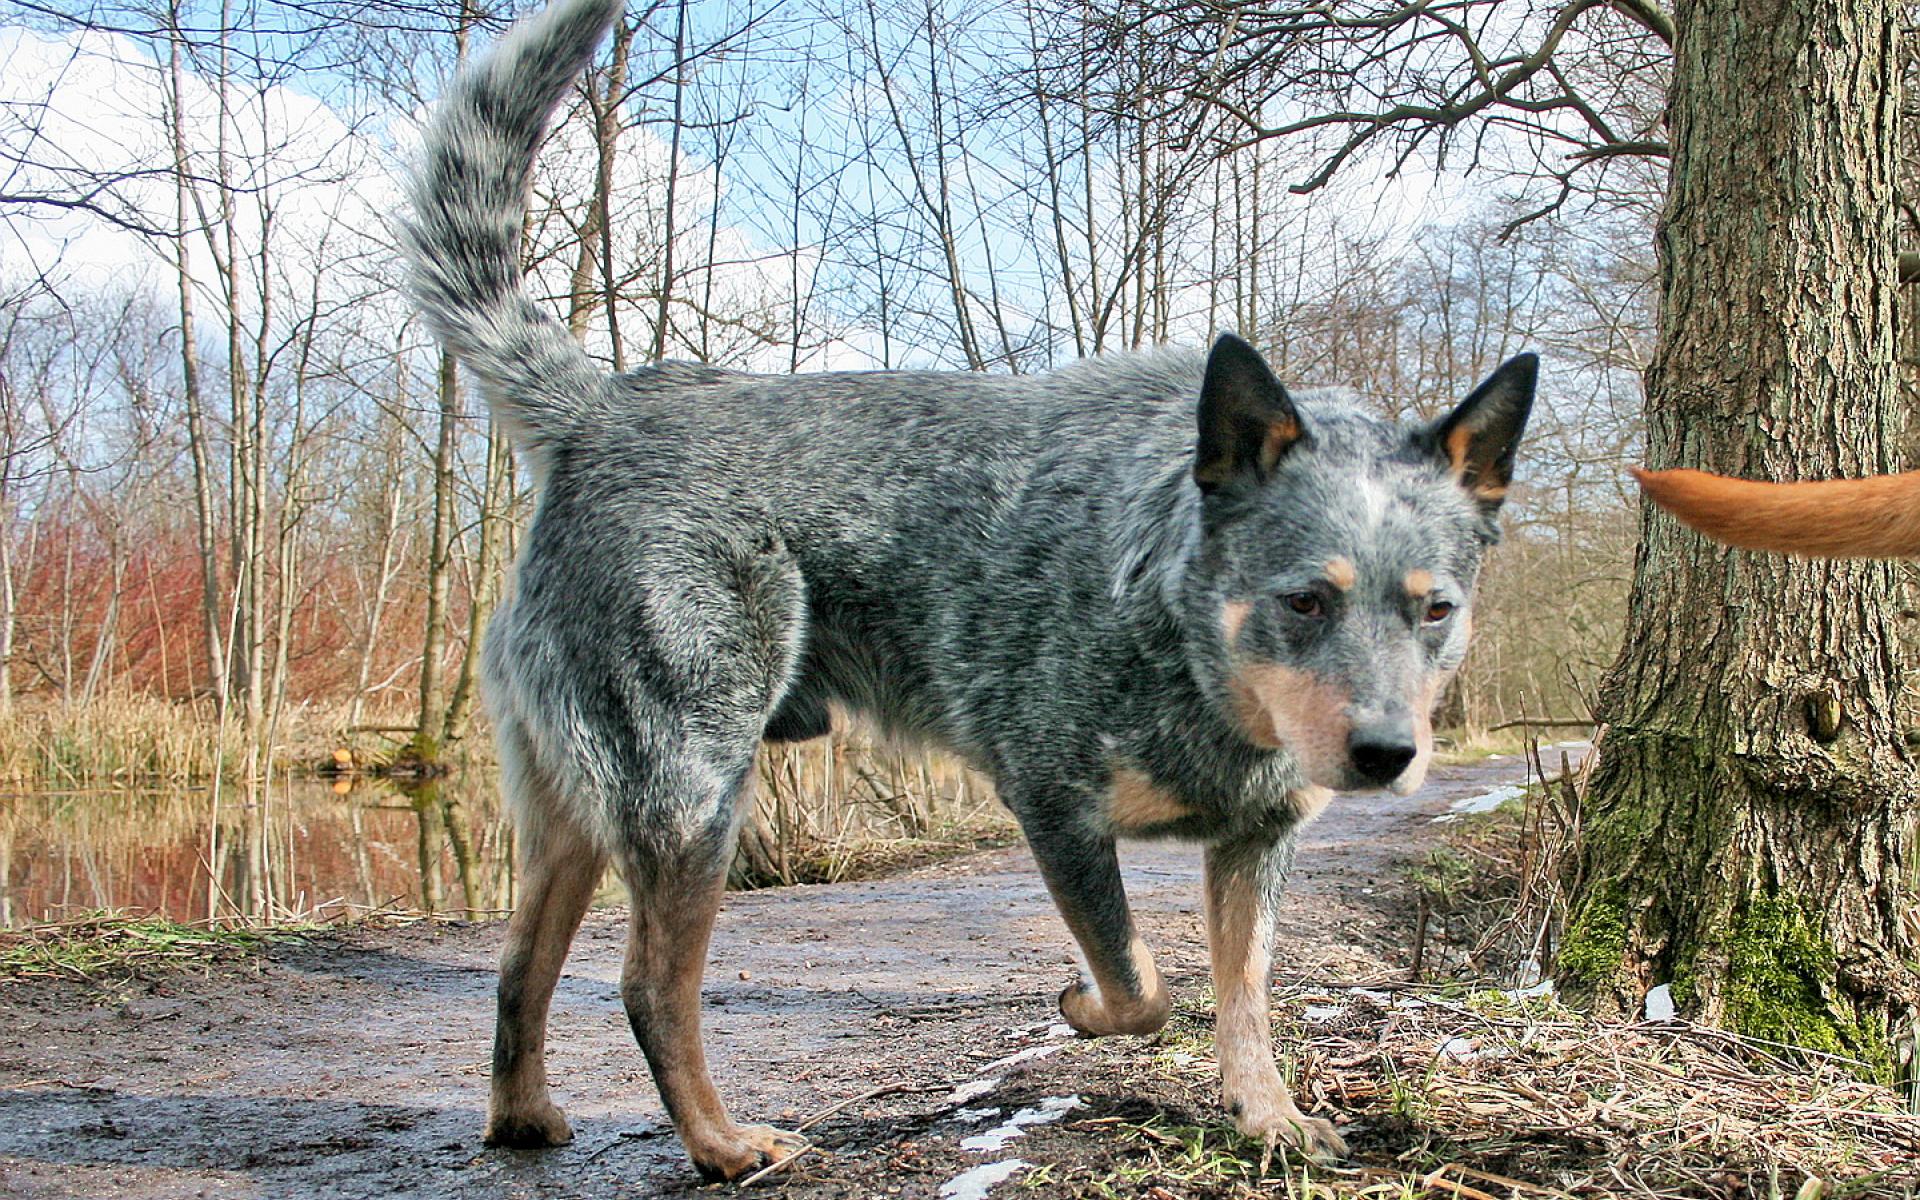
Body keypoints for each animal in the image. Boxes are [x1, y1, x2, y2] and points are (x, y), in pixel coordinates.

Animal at [397, 0, 1536, 1182]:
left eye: (1437, 609)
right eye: (1306, 599)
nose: (1388, 755)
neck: (1181, 642)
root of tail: (602, 411)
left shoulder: (1256, 843)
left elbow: (1245, 997)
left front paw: (1266, 1115)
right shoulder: (1052, 805)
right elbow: (1140, 983)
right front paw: (1086, 1007)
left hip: (571, 810)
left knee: (519, 967)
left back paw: (523, 1116)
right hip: (692, 796)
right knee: (646, 987)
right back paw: (722, 1142)